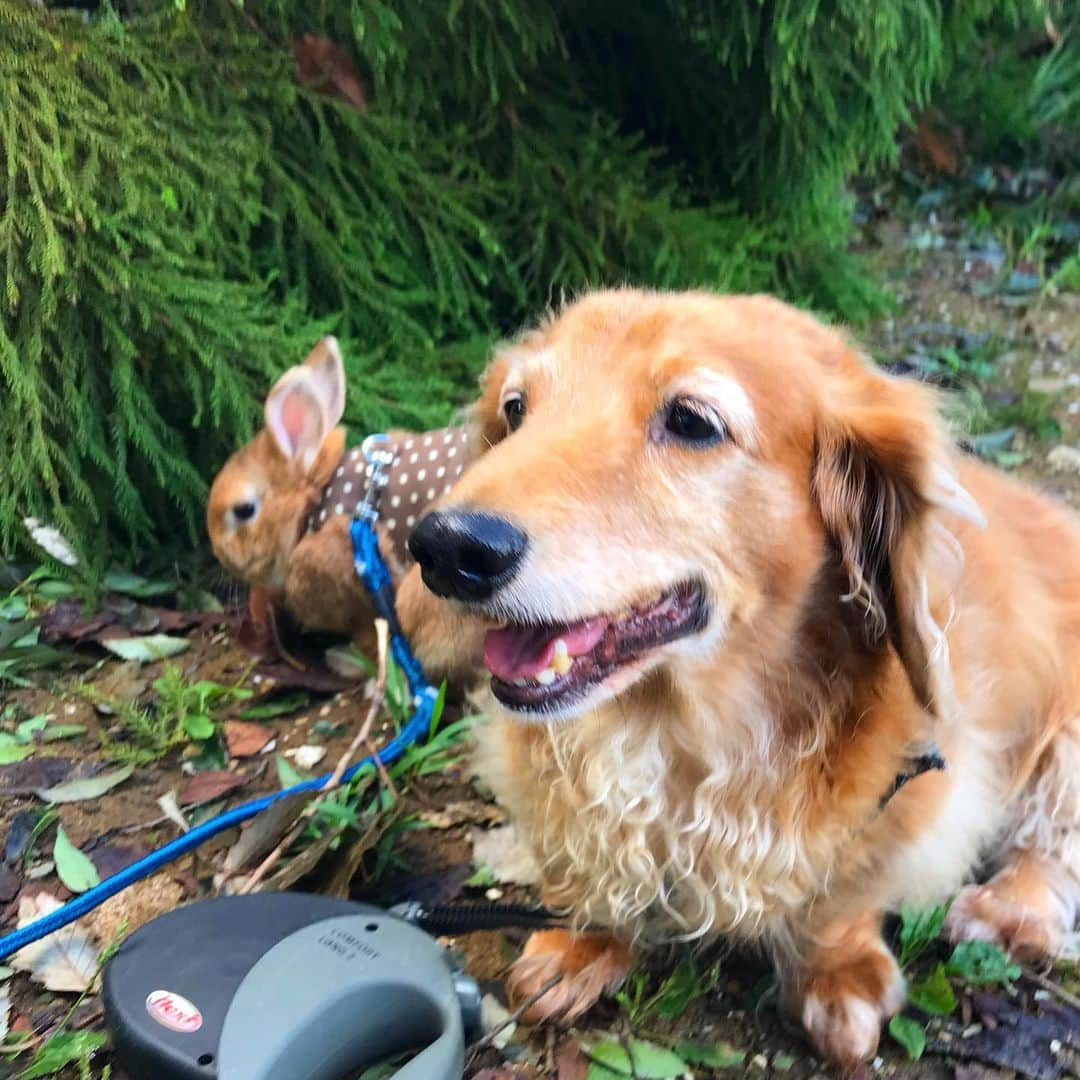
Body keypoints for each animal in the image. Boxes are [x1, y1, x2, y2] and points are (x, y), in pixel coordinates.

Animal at [397, 289, 1080, 1071]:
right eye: (515, 408)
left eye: (692, 421)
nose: (444, 548)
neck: (676, 734)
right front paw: (584, 938)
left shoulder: (913, 792)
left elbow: (842, 897)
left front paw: (837, 972)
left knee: (1051, 844)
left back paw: (1010, 907)